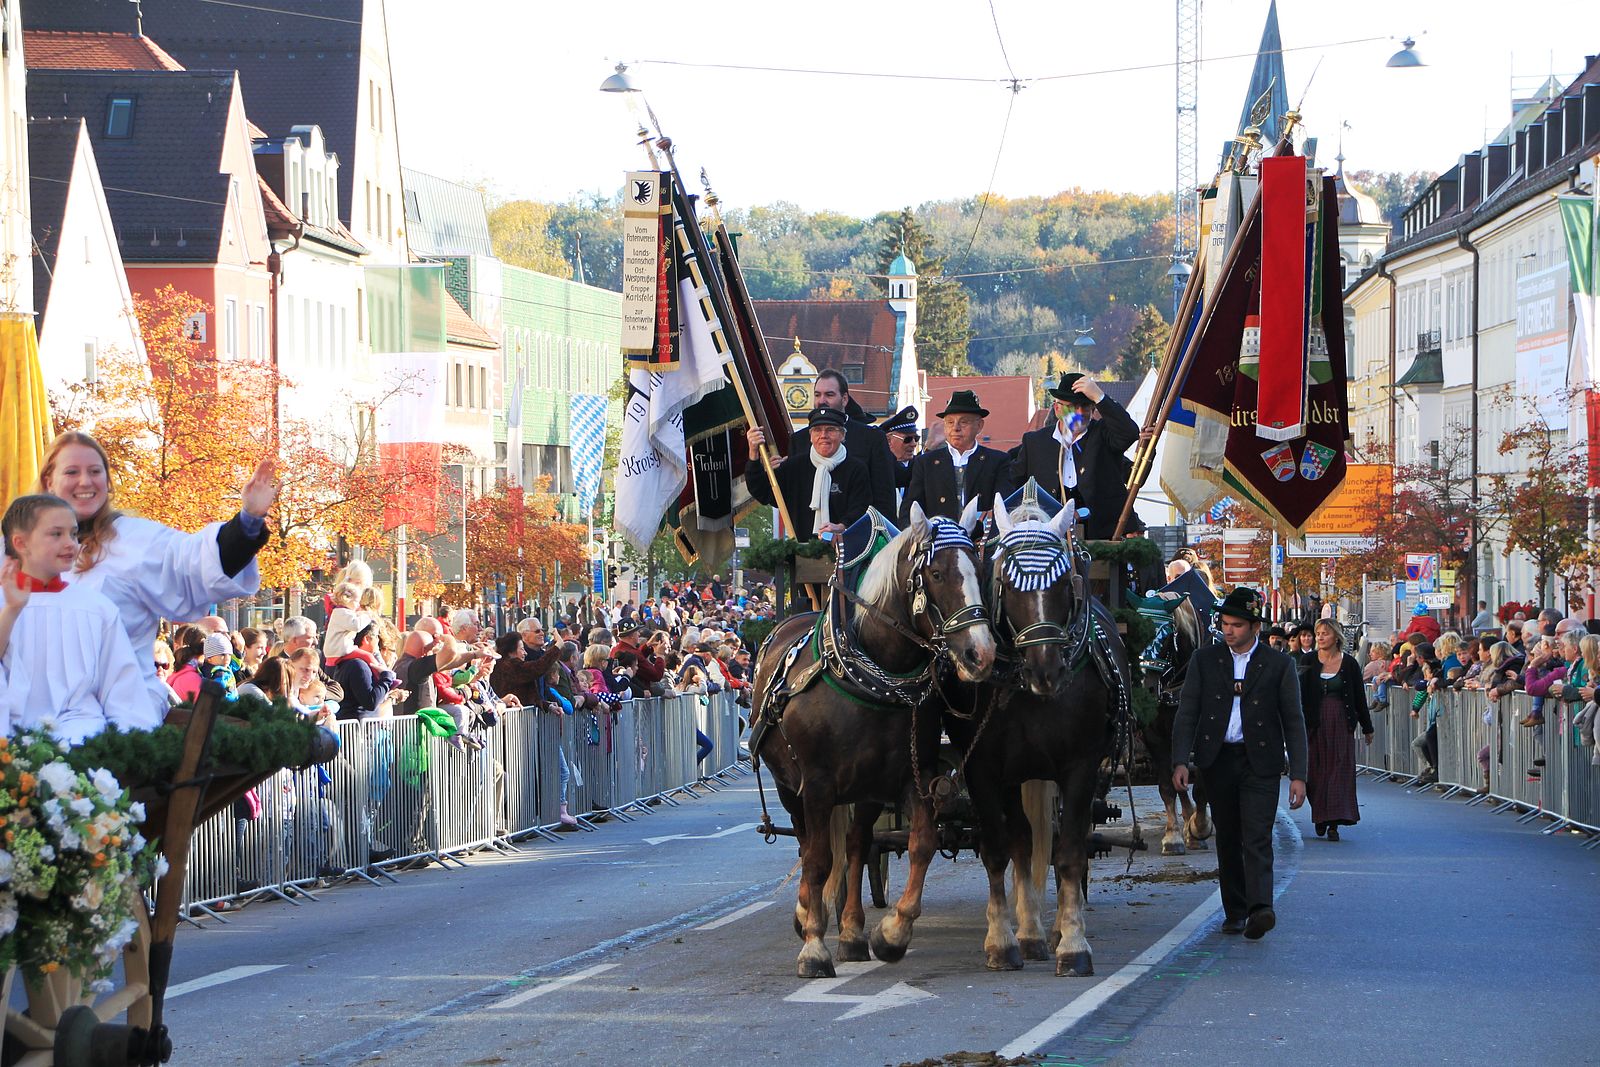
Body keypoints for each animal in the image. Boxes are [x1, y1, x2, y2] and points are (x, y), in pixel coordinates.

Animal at [745, 505, 992, 979]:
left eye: (981, 569)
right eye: (936, 572)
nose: (981, 654)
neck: (873, 679)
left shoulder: (910, 776)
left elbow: (920, 843)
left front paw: (891, 934)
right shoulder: (817, 785)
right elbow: (819, 860)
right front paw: (813, 947)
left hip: (865, 791)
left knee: (858, 846)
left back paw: (852, 933)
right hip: (790, 788)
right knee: (808, 844)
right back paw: (808, 915)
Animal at [940, 492, 1132, 979]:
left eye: (1065, 582)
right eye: (1007, 585)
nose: (1047, 670)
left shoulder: (1080, 768)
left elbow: (1069, 853)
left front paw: (1074, 945)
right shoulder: (983, 769)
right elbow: (1000, 849)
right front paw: (1004, 941)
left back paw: (1055, 928)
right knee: (1023, 842)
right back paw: (1029, 933)